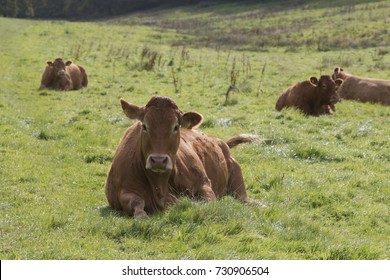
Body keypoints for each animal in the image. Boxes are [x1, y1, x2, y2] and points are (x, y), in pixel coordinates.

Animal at [103, 96, 262, 219]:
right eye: (144, 126)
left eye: (175, 127)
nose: (158, 160)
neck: (160, 185)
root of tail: (221, 142)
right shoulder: (123, 192)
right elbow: (136, 202)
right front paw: (142, 216)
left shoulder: (204, 184)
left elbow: (207, 203)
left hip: (238, 184)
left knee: (245, 199)